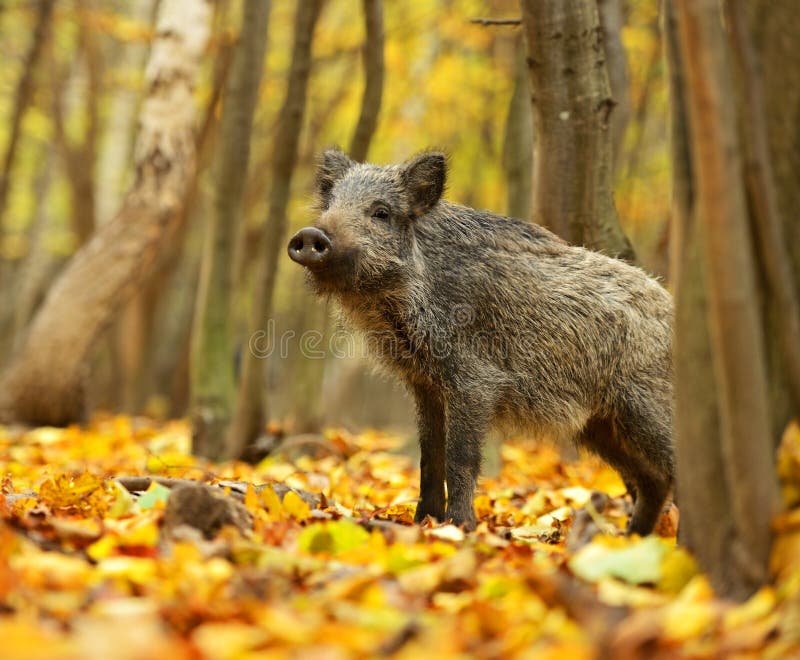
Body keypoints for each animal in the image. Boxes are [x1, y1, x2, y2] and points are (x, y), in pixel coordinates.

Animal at [287, 148, 674, 534]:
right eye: (330, 204)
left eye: (381, 212)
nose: (310, 234)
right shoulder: (425, 385)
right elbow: (429, 455)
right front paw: (423, 522)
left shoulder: (475, 380)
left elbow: (460, 456)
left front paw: (459, 527)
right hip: (600, 424)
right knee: (654, 480)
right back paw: (632, 537)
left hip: (645, 407)